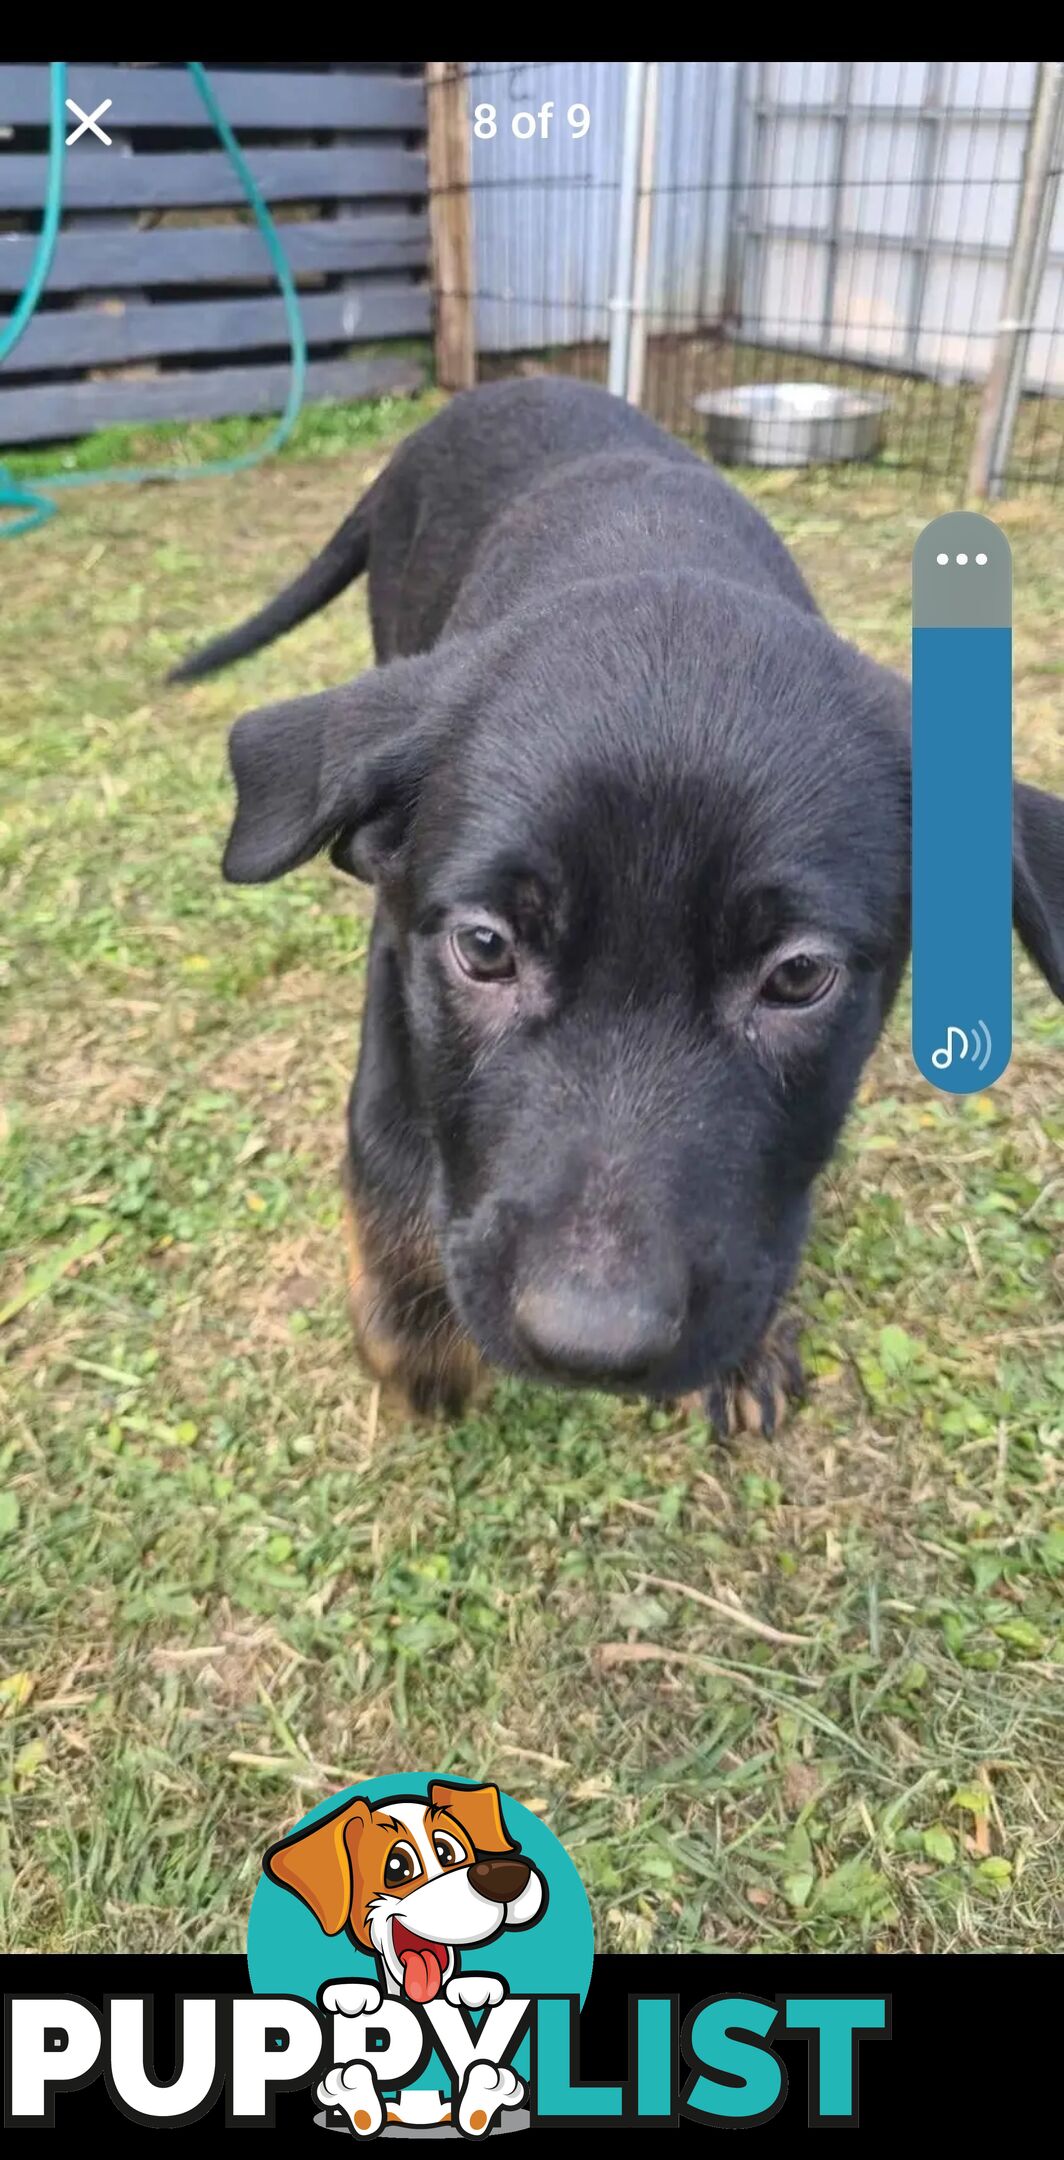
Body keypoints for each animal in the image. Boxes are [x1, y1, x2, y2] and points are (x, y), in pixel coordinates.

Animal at [173, 384, 1061, 1434]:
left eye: (800, 975)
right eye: (486, 950)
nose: (589, 1346)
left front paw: (748, 1348)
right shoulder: (399, 950)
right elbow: (385, 1135)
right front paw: (412, 1332)